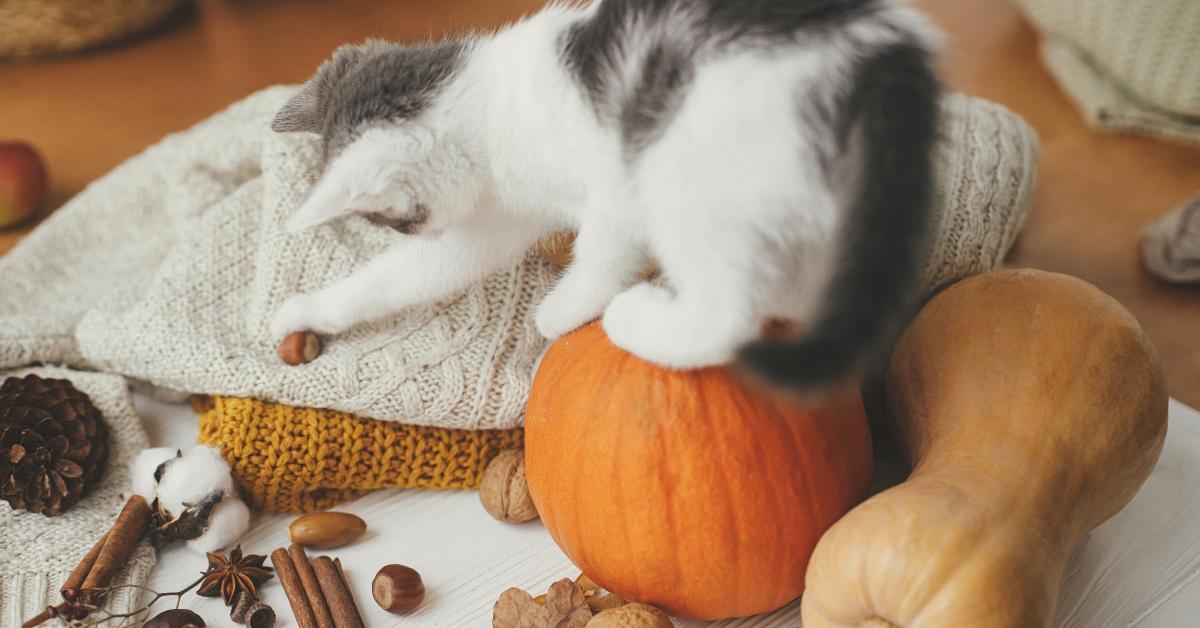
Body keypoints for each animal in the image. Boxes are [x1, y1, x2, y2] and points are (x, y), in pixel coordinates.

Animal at [267, 0, 940, 391]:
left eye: (394, 222)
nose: (421, 228)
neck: (480, 99)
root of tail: (880, 54)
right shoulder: (492, 213)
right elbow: (411, 274)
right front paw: (304, 310)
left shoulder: (615, 182)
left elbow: (601, 249)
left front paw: (559, 312)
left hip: (684, 163)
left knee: (726, 315)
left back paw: (639, 317)